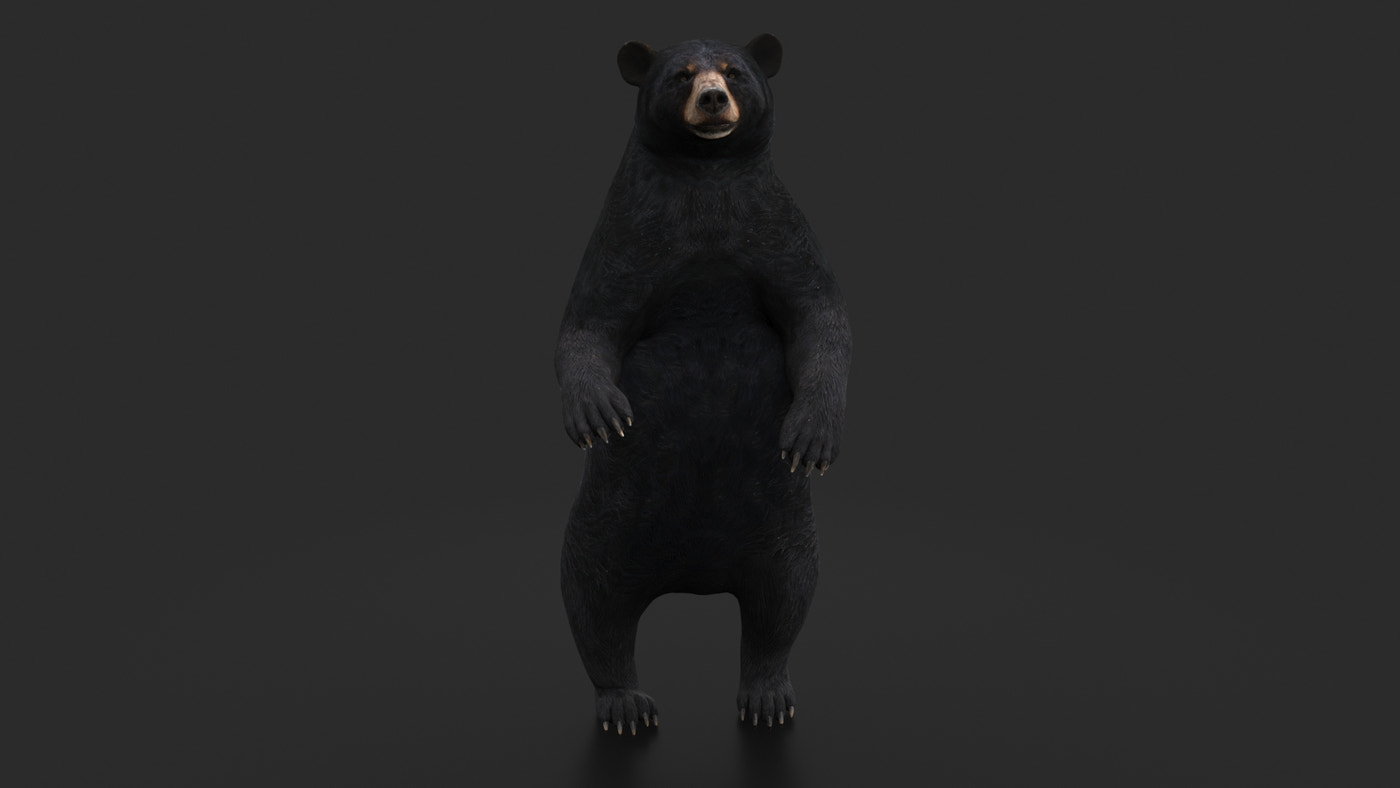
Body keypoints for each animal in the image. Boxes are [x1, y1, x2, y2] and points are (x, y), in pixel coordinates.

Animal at [555, 33, 851, 734]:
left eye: (735, 72)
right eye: (681, 75)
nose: (713, 98)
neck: (705, 174)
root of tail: (696, 577)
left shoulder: (775, 229)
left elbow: (819, 313)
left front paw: (812, 434)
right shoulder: (631, 234)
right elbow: (590, 320)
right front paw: (598, 413)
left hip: (782, 529)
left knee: (786, 596)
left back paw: (766, 695)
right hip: (606, 524)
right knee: (590, 594)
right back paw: (625, 703)